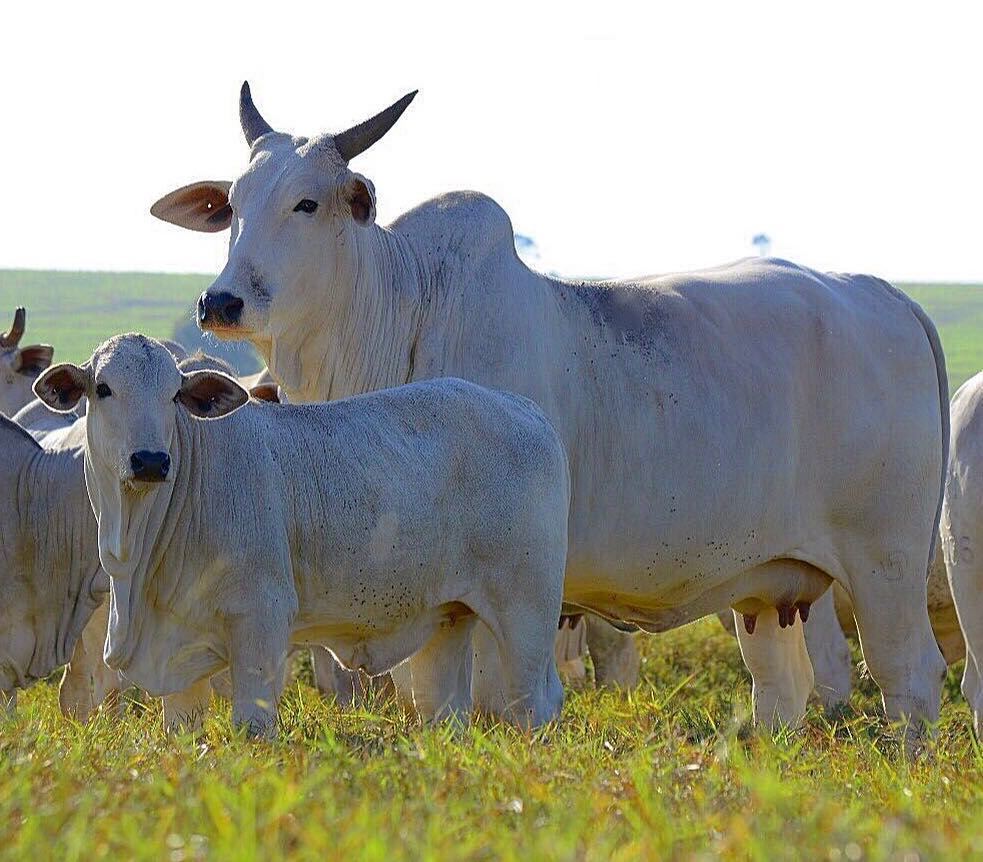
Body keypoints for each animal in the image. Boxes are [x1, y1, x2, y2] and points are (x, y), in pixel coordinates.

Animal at [36, 336, 568, 736]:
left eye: (173, 395)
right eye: (103, 388)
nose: (150, 460)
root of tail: (526, 410)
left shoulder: (260, 621)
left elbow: (252, 725)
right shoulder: (177, 651)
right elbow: (182, 727)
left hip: (527, 614)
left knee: (534, 704)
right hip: (448, 622)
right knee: (446, 708)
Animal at [154, 84, 952, 732]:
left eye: (307, 202)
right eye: (233, 206)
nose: (220, 302)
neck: (399, 315)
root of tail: (882, 294)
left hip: (883, 565)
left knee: (910, 678)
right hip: (766, 589)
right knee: (782, 691)